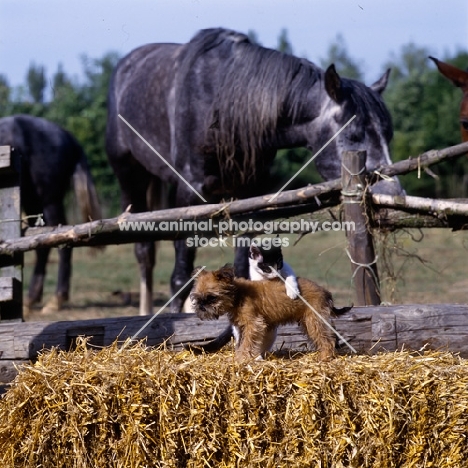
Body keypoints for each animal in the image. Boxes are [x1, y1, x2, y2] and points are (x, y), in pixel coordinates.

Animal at [0, 114, 101, 314]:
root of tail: (66, 136)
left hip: (49, 201)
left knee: (60, 239)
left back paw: (55, 300)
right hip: (33, 202)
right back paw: (31, 300)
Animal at [191, 266, 352, 360]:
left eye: (211, 298)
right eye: (197, 298)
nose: (201, 306)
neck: (237, 294)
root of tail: (325, 291)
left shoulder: (254, 324)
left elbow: (247, 343)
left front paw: (241, 359)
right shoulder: (244, 327)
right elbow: (242, 343)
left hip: (314, 321)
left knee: (328, 340)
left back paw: (324, 357)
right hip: (309, 322)